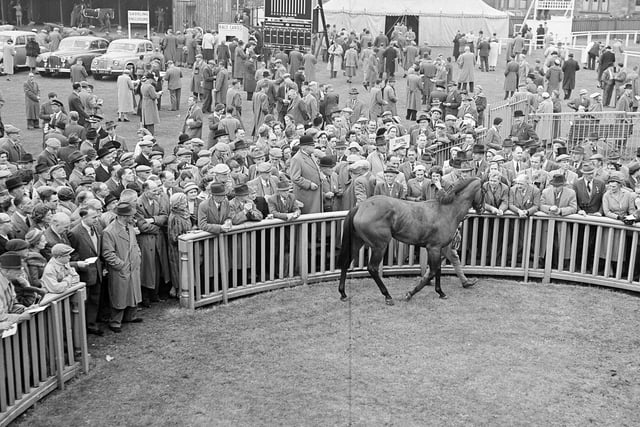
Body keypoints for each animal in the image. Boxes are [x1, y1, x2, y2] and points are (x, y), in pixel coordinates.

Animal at [338, 179, 482, 306]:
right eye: (484, 189)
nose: (482, 209)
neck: (447, 211)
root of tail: (360, 207)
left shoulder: (439, 248)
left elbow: (437, 269)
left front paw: (441, 292)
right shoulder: (434, 248)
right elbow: (433, 271)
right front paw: (410, 294)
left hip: (357, 241)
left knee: (345, 262)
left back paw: (343, 294)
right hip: (380, 246)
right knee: (372, 268)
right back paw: (388, 296)